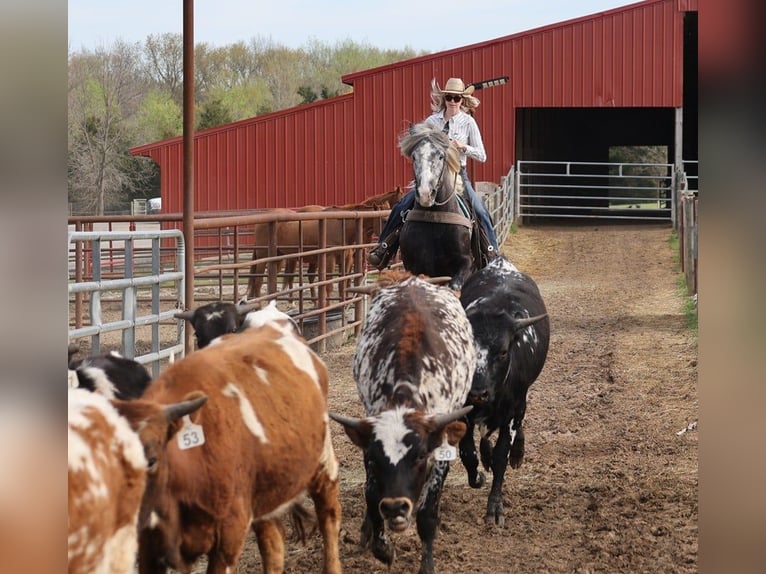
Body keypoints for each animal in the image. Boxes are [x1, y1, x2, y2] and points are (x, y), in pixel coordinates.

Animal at [136, 302, 344, 574]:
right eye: (198, 334)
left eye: (233, 327)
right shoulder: (149, 549)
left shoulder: (228, 536)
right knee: (273, 543)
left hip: (322, 459)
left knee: (328, 514)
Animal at [332, 272, 476, 574]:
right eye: (375, 459)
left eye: (420, 456)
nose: (396, 507)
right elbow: (371, 494)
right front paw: (381, 546)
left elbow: (427, 513)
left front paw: (427, 563)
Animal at [400, 123, 476, 290]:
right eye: (414, 156)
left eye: (441, 156)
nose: (425, 194)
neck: (436, 217)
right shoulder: (412, 266)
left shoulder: (466, 263)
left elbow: (454, 285)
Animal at [460, 256, 548, 528]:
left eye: (502, 351)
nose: (478, 392)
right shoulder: (463, 411)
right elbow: (467, 452)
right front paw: (477, 475)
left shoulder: (511, 408)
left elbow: (501, 456)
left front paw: (494, 507)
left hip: (521, 400)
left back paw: (517, 451)